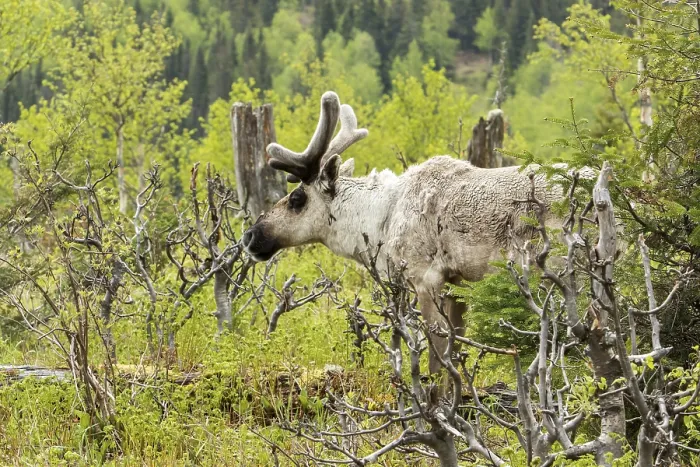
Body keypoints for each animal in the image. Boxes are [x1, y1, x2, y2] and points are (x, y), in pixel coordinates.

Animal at [242, 91, 559, 375]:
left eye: (297, 199)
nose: (250, 236)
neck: (383, 218)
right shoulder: (458, 285)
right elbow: (456, 352)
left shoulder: (426, 277)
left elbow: (437, 359)